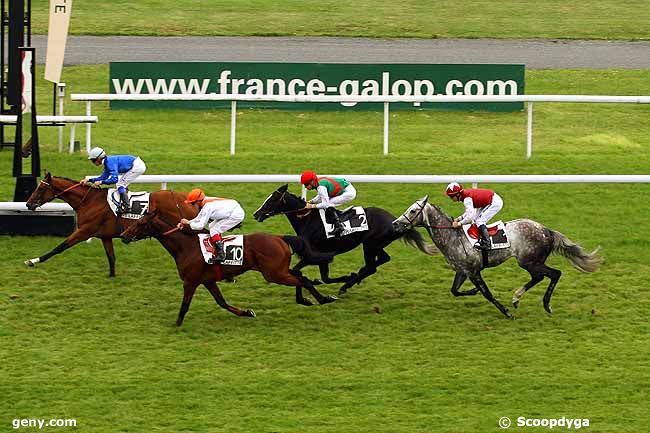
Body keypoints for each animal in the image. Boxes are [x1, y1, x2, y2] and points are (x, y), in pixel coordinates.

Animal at [24, 170, 197, 276]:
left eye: (40, 189)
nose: (28, 204)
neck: (88, 200)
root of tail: (188, 200)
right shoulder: (105, 236)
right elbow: (111, 257)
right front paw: (112, 276)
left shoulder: (84, 231)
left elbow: (60, 247)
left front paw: (33, 261)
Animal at [118, 209, 336, 324]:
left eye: (140, 223)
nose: (123, 236)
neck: (185, 247)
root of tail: (280, 237)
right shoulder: (207, 281)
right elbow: (221, 302)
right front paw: (246, 312)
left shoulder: (190, 281)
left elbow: (185, 305)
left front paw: (176, 324)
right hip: (278, 270)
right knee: (299, 276)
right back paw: (307, 299)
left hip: (274, 274)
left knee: (302, 279)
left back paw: (323, 298)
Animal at [253, 182, 436, 294]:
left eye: (271, 200)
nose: (256, 214)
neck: (308, 220)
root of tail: (396, 220)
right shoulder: (321, 256)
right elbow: (324, 277)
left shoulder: (315, 255)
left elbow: (300, 271)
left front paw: (345, 277)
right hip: (375, 245)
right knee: (383, 259)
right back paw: (354, 278)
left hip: (370, 244)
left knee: (372, 267)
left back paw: (348, 283)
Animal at [388, 196, 600, 318]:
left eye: (413, 211)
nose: (395, 224)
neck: (453, 237)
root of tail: (546, 230)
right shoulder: (463, 271)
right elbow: (455, 290)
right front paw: (473, 291)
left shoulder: (473, 272)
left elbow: (487, 294)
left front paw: (506, 313)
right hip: (531, 262)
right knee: (539, 277)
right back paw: (516, 298)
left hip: (529, 260)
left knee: (554, 274)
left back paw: (545, 305)